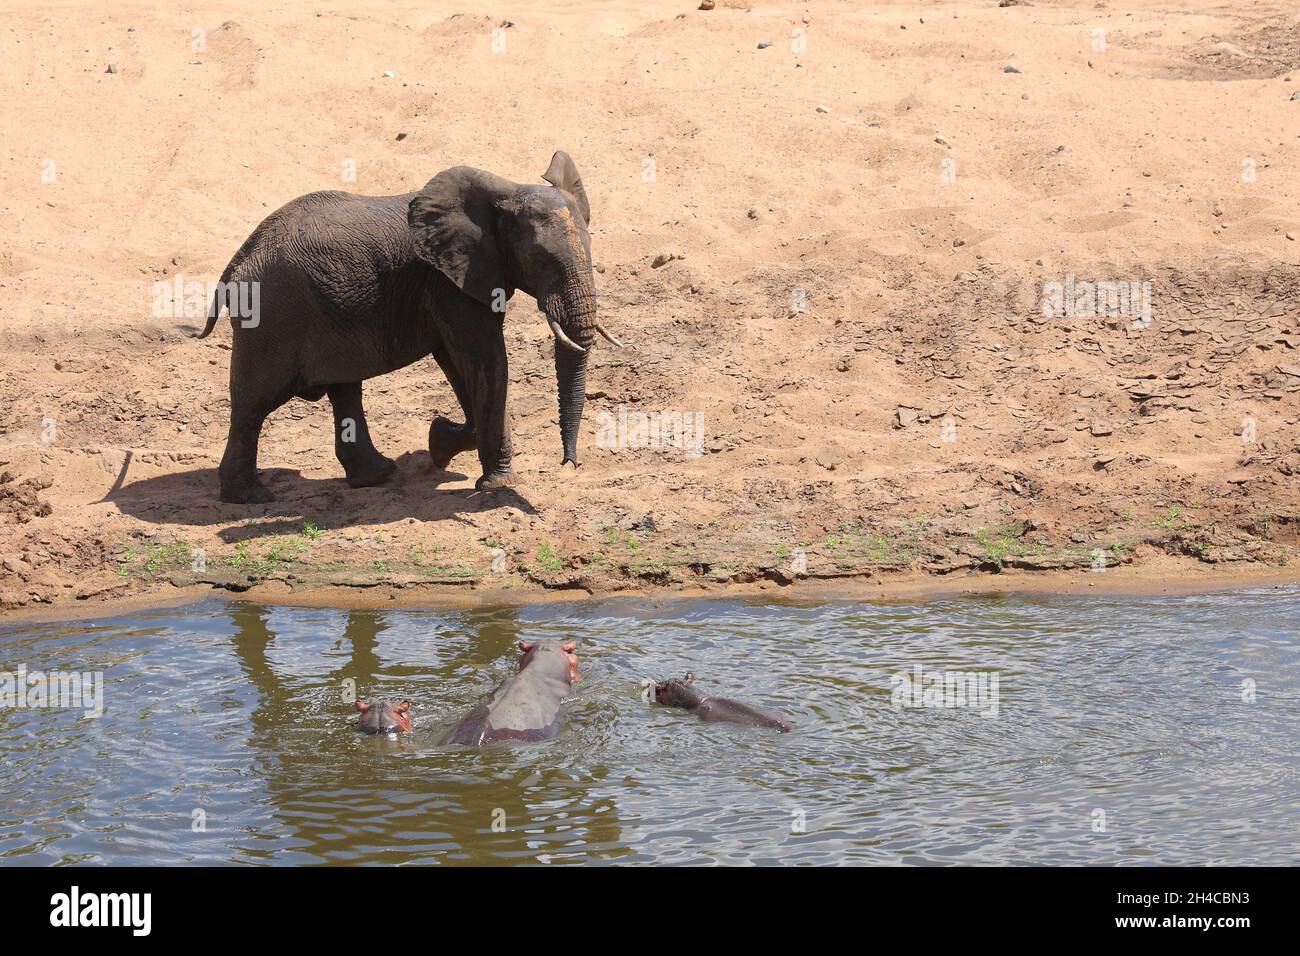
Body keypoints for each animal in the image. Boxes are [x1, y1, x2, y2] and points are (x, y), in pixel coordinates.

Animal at [192, 151, 618, 502]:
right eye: (541, 260)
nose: (569, 464)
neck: (503, 193)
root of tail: (239, 256)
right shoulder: (448, 280)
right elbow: (485, 360)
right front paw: (498, 484)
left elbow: (458, 362)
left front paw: (439, 444)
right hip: (272, 316)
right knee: (253, 404)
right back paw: (249, 497)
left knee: (344, 388)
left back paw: (377, 476)